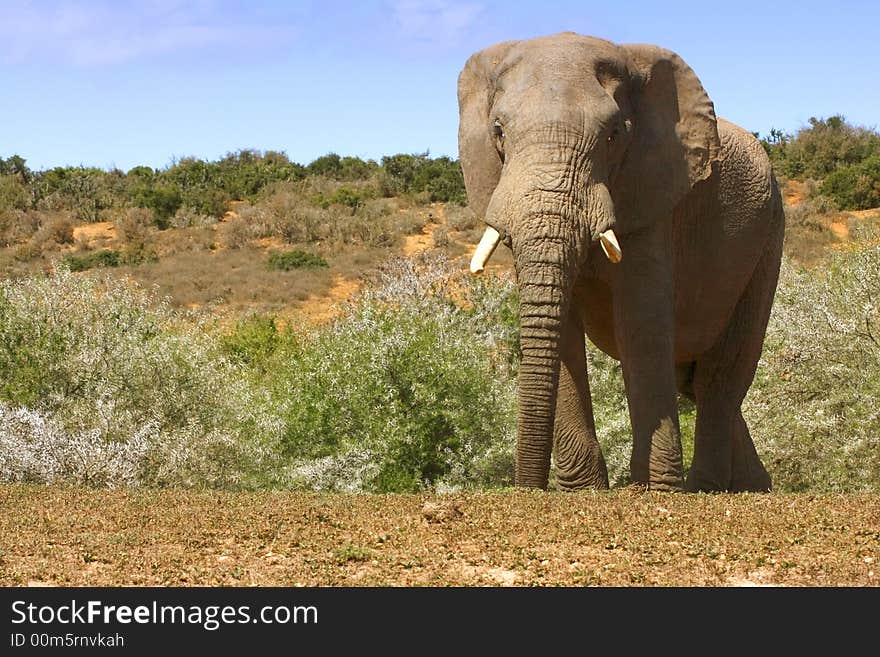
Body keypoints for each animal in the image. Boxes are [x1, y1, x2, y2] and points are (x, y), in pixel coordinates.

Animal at [460, 32, 784, 492]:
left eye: (614, 135)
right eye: (498, 131)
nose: (527, 488)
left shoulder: (653, 193)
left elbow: (641, 321)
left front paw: (653, 489)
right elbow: (562, 329)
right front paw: (585, 490)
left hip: (768, 238)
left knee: (720, 375)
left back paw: (706, 487)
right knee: (695, 380)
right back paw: (753, 485)